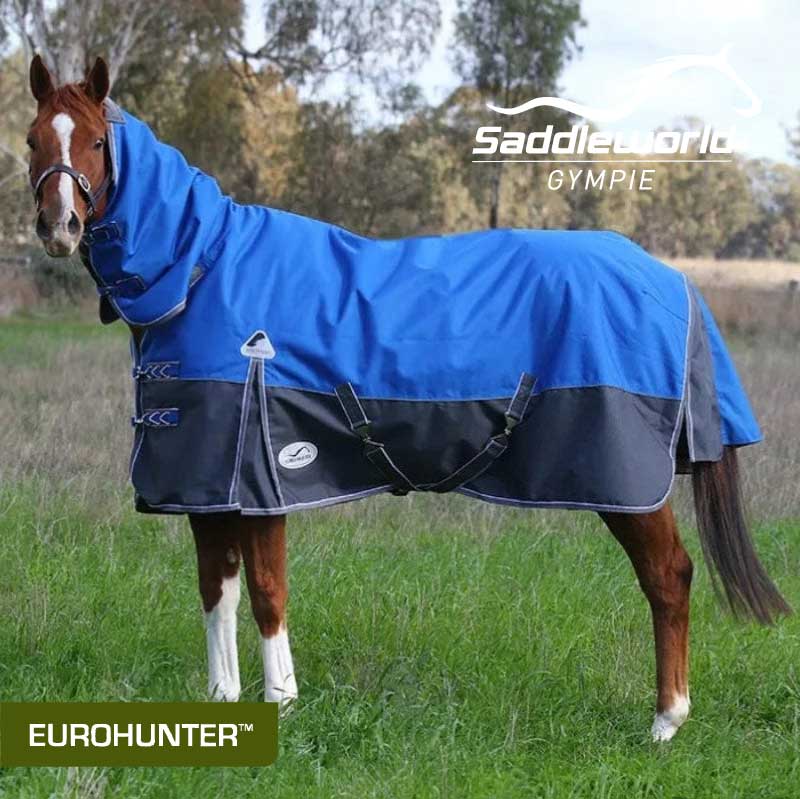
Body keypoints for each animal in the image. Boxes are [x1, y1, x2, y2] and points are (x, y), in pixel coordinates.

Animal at [26, 55, 790, 743]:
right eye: (33, 138)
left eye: (95, 142)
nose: (59, 227)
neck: (202, 270)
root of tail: (671, 277)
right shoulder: (208, 486)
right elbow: (218, 591)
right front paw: (223, 704)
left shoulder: (263, 478)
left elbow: (269, 593)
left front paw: (283, 704)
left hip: (630, 484)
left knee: (669, 576)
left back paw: (666, 722)